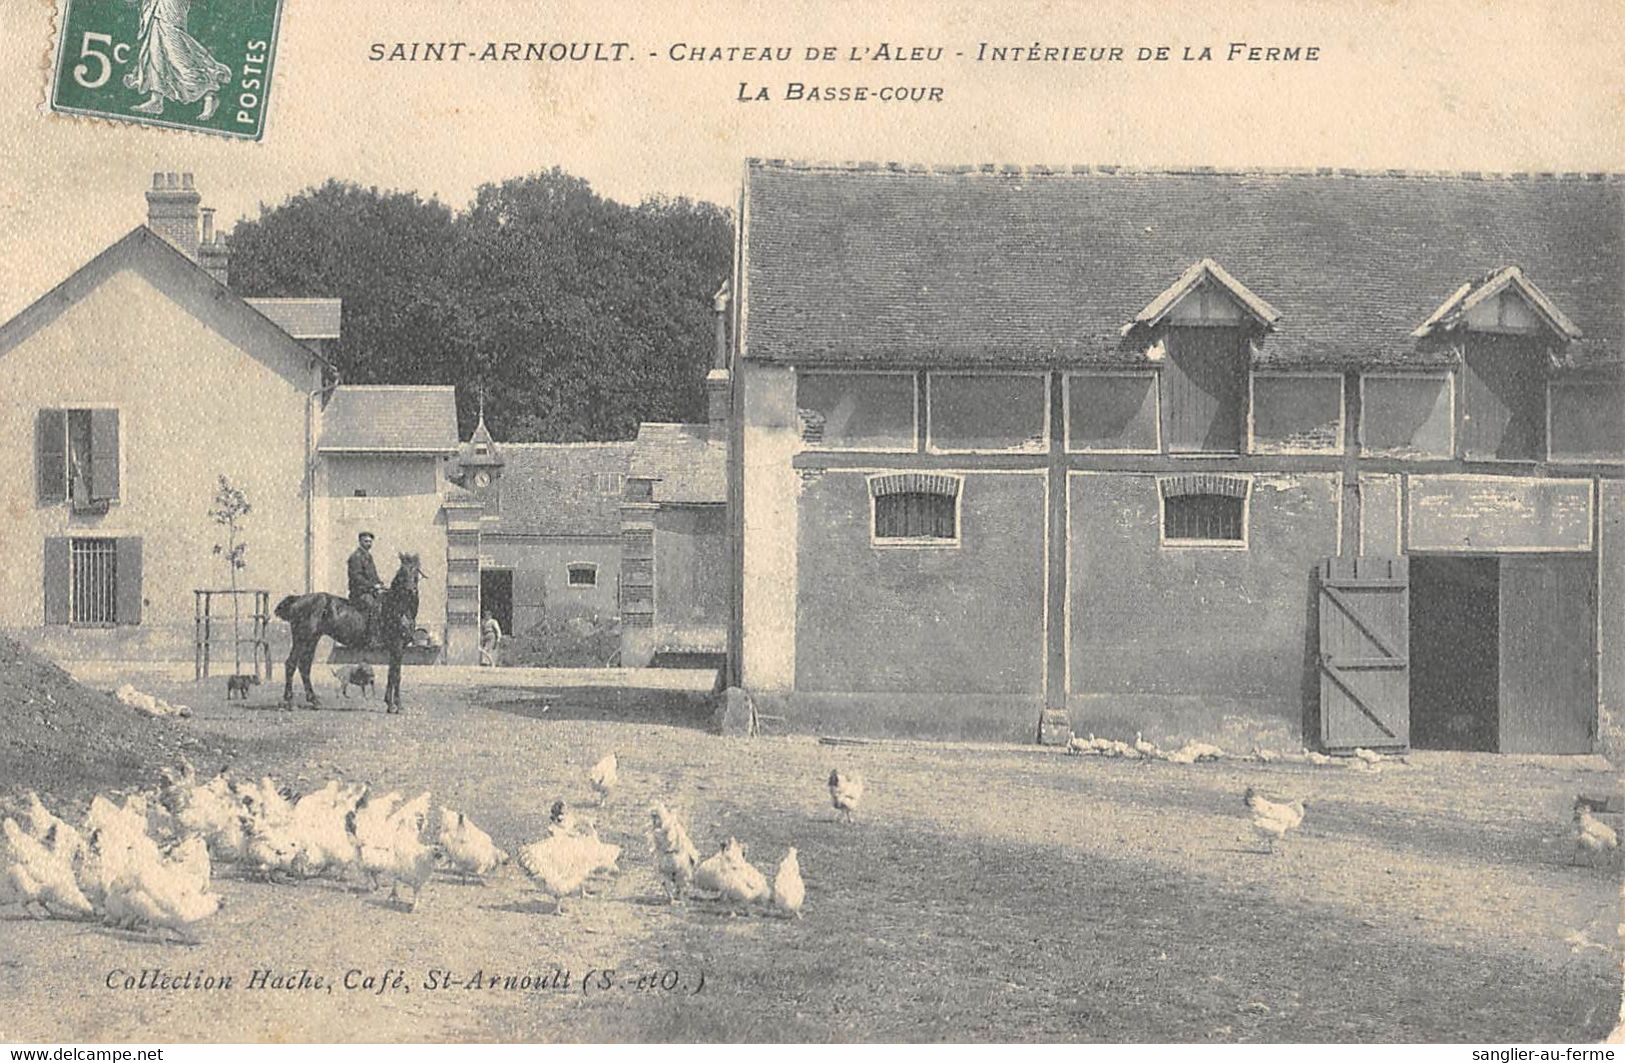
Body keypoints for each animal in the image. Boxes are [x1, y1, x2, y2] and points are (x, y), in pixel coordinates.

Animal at [273, 552, 425, 711]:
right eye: (401, 572)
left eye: (416, 571)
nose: (411, 590)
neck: (398, 607)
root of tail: (299, 599)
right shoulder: (397, 646)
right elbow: (395, 675)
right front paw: (394, 705)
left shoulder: (397, 648)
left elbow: (393, 675)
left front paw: (393, 704)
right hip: (302, 639)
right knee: (291, 664)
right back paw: (288, 702)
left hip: (312, 640)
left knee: (304, 666)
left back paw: (314, 700)